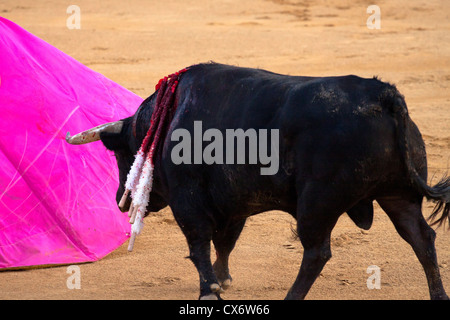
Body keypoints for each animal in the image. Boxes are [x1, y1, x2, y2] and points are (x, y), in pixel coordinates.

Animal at [65, 63, 448, 300]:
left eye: (122, 154)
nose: (121, 199)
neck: (168, 118)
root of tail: (385, 96)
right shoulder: (234, 203)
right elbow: (224, 243)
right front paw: (222, 280)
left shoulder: (188, 200)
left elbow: (198, 243)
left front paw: (209, 288)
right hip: (398, 194)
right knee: (421, 238)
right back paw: (438, 294)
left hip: (317, 204)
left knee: (317, 252)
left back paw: (291, 297)